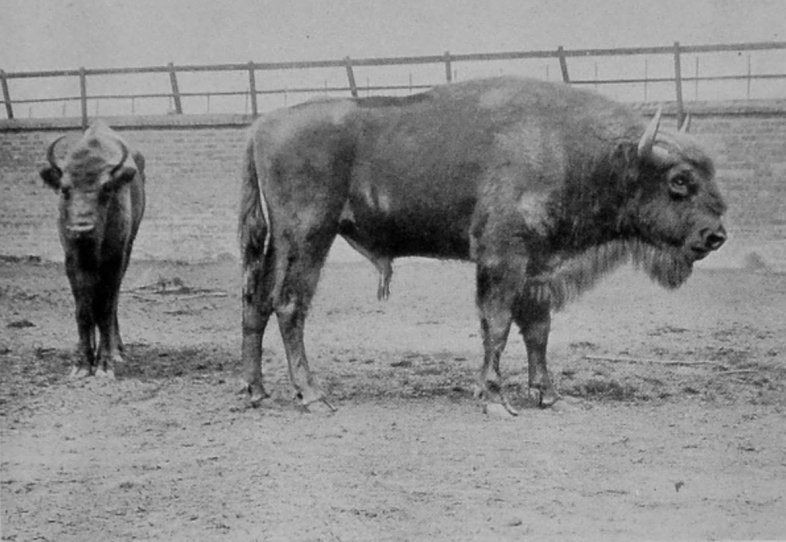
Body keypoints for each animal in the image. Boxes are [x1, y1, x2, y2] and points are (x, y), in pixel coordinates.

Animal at [39, 122, 146, 378]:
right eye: (64, 189)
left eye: (106, 188)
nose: (82, 228)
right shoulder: (73, 260)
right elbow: (84, 308)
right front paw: (81, 364)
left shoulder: (114, 259)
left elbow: (105, 307)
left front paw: (106, 363)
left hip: (128, 249)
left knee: (112, 300)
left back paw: (117, 351)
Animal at [238, 76, 726, 413]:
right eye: (679, 180)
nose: (716, 235)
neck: (574, 152)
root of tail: (261, 126)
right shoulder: (501, 258)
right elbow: (498, 324)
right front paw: (494, 397)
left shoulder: (537, 267)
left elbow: (538, 330)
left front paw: (549, 395)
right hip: (308, 237)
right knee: (289, 305)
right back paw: (312, 396)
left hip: (280, 244)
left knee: (256, 302)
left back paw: (256, 391)